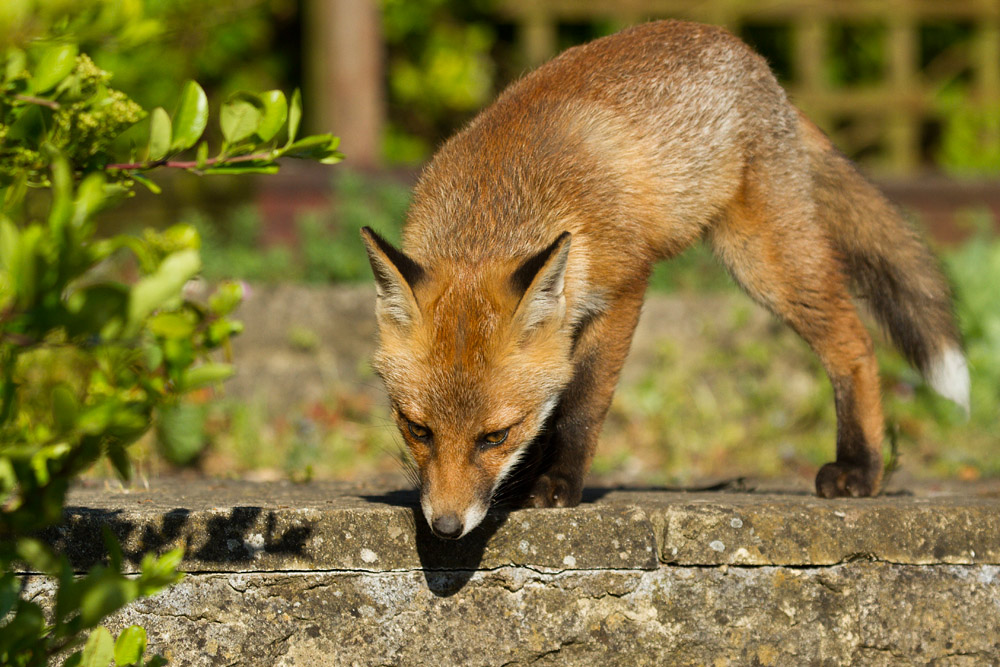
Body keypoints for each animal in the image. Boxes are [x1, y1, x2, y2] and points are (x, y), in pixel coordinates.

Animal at [360, 20, 969, 539]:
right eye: (417, 430)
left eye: (494, 436)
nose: (445, 528)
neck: (497, 207)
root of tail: (757, 64)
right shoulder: (563, 325)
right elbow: (553, 402)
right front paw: (525, 479)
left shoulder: (624, 289)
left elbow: (581, 404)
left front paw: (557, 486)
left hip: (762, 261)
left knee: (853, 340)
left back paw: (860, 468)